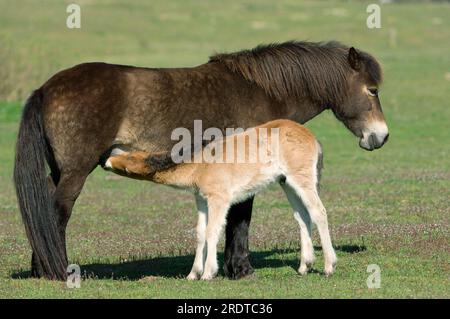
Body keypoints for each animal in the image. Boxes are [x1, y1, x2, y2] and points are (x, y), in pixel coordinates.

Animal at [14, 40, 386, 280]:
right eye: (372, 90)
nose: (380, 137)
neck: (262, 90)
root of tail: (46, 89)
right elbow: (239, 219)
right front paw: (240, 270)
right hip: (75, 172)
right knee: (58, 212)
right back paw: (58, 271)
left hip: (59, 170)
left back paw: (40, 269)